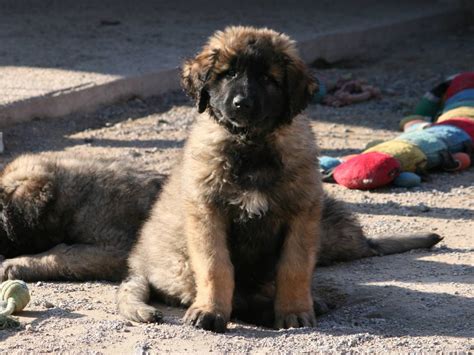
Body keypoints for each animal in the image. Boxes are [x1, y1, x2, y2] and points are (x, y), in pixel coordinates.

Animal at [116, 27, 442, 334]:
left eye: (267, 79)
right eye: (228, 74)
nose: (242, 103)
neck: (251, 144)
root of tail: (139, 264)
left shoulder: (301, 213)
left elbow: (294, 268)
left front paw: (294, 311)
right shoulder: (208, 212)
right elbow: (215, 266)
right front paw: (209, 312)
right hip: (179, 261)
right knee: (232, 296)